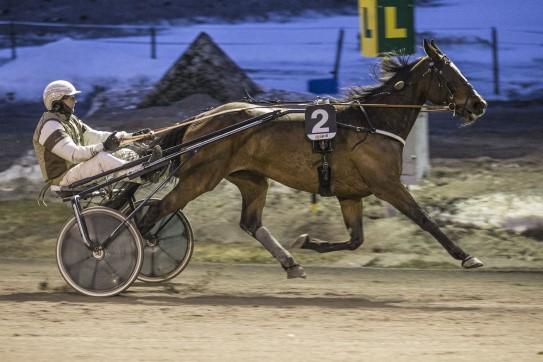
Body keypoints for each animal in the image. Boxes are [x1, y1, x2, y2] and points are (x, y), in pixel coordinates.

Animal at [140, 39, 488, 278]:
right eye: (451, 75)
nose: (479, 104)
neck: (373, 122)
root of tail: (200, 119)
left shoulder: (350, 195)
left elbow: (356, 240)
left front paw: (307, 241)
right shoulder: (387, 184)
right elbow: (424, 219)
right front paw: (467, 256)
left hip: (251, 179)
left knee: (251, 223)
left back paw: (290, 263)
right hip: (201, 176)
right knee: (156, 211)